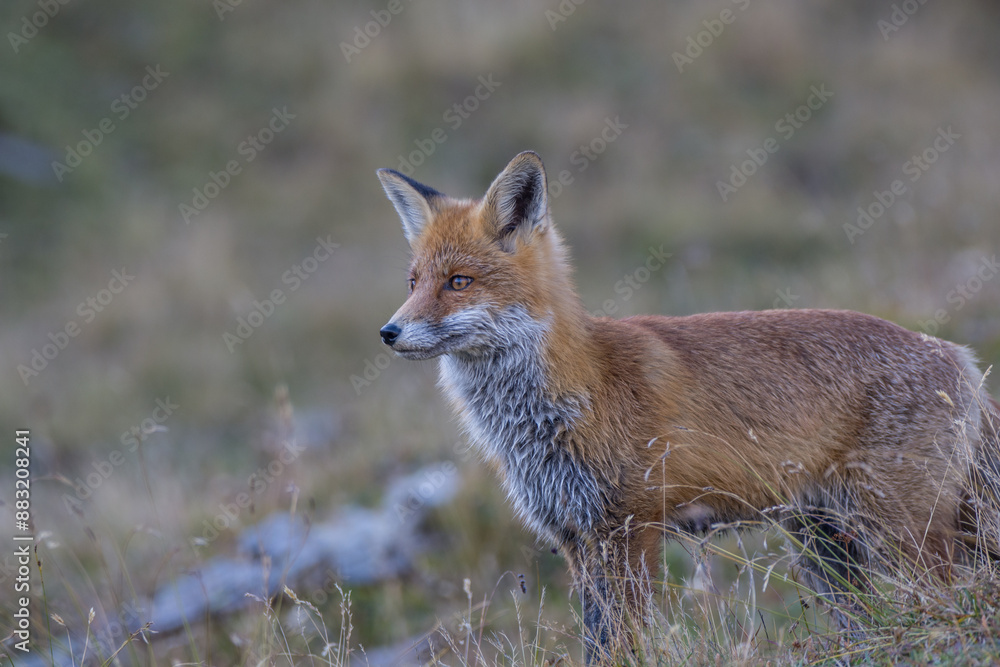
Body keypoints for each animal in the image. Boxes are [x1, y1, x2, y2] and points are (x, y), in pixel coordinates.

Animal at [376, 151, 1000, 660]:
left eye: (459, 282)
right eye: (413, 281)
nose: (389, 332)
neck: (560, 402)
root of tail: (958, 356)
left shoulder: (630, 528)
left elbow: (624, 641)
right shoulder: (577, 536)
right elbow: (597, 642)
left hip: (901, 535)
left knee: (945, 594)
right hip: (827, 546)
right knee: (867, 617)